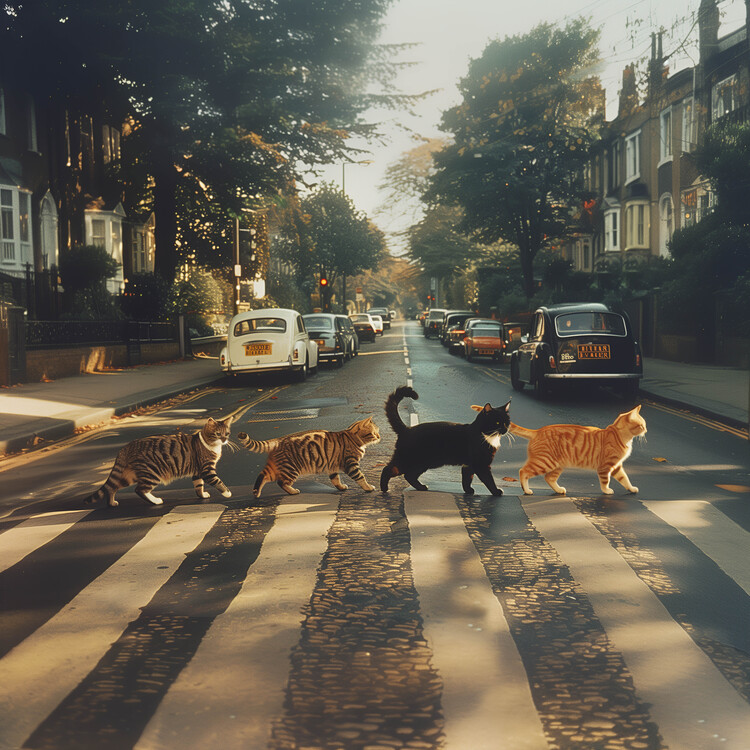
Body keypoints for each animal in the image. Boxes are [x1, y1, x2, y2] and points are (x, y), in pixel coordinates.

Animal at [84, 418, 235, 512]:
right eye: (218, 434)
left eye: (227, 433)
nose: (224, 440)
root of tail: (126, 446)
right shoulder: (206, 470)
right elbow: (218, 481)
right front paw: (228, 493)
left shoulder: (197, 472)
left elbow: (198, 486)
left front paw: (202, 495)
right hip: (153, 472)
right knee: (140, 490)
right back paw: (156, 501)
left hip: (129, 476)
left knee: (112, 487)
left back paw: (111, 503)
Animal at [238, 418, 382, 500]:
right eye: (374, 433)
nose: (379, 437)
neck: (352, 437)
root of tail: (279, 440)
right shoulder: (351, 464)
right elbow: (361, 477)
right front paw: (368, 488)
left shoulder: (333, 466)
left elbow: (335, 479)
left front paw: (341, 487)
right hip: (291, 469)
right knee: (281, 482)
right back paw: (293, 491)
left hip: (277, 468)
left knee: (263, 476)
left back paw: (256, 493)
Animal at [382, 388, 512, 500]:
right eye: (497, 422)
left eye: (507, 422)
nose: (505, 429)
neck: (486, 436)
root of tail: (407, 429)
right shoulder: (481, 465)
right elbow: (488, 480)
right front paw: (496, 492)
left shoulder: (468, 465)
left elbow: (467, 479)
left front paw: (468, 490)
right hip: (411, 460)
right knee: (388, 469)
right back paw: (384, 489)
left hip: (422, 463)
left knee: (408, 475)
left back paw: (421, 487)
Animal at [516, 406, 648, 500]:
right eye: (642, 426)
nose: (646, 431)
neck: (619, 435)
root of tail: (537, 431)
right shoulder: (605, 467)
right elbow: (605, 481)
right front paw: (606, 491)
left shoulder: (616, 466)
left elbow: (625, 479)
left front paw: (631, 489)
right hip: (544, 462)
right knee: (523, 471)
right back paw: (526, 490)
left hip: (557, 465)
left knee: (549, 478)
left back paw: (559, 490)